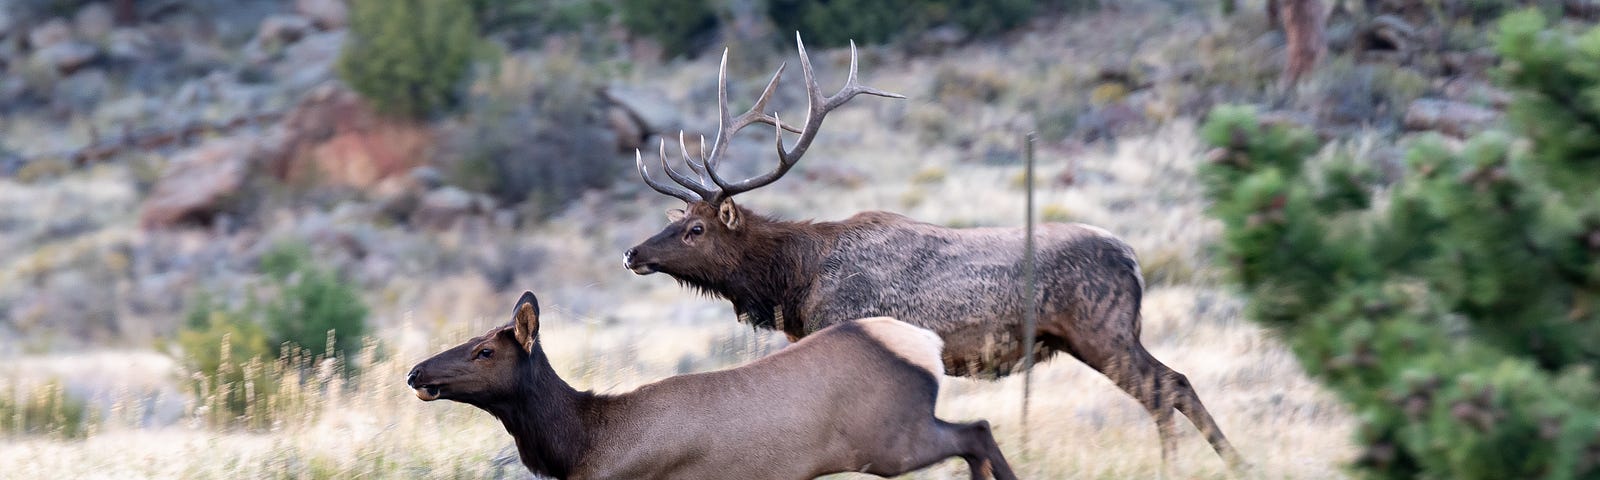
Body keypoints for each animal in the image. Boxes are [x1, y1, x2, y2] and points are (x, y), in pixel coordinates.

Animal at [406, 291, 1017, 476]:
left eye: (485, 351)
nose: (417, 372)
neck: (583, 444)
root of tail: (927, 346)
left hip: (889, 440)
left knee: (978, 432)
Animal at [624, 35, 1248, 473]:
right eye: (675, 220)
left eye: (696, 229)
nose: (631, 253)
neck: (795, 284)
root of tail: (1134, 260)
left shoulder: (843, 328)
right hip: (1106, 335)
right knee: (1177, 382)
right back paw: (1237, 462)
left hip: (1104, 329)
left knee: (1165, 389)